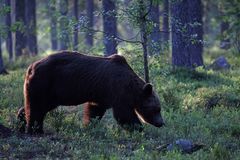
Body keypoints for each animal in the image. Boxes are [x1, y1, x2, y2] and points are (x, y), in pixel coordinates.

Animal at [17, 51, 165, 134]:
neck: (131, 88)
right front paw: (139, 129)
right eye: (157, 109)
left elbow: (95, 110)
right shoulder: (117, 90)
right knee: (37, 107)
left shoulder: (101, 95)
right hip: (45, 82)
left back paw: (21, 121)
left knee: (38, 106)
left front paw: (89, 125)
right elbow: (124, 114)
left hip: (51, 93)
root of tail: (31, 66)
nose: (161, 123)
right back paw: (35, 130)